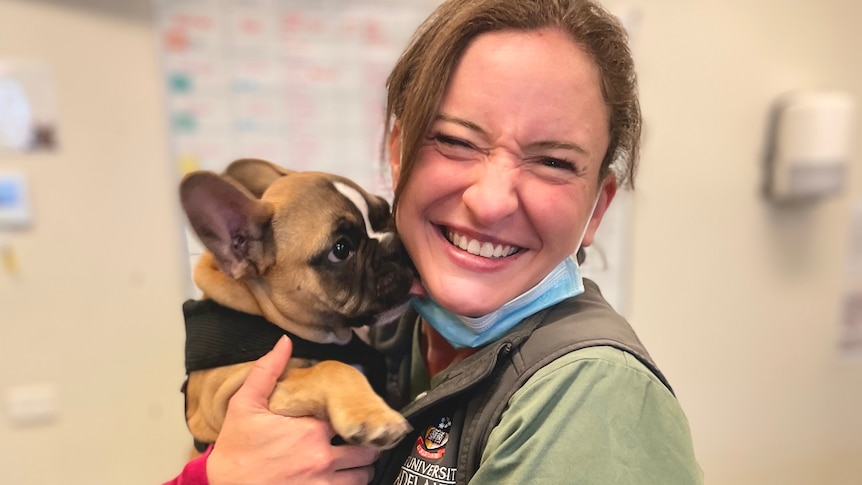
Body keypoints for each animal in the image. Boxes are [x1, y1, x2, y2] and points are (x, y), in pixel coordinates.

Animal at [179, 158, 416, 450]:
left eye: (385, 213)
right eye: (341, 250)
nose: (397, 244)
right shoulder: (229, 392)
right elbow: (331, 368)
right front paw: (374, 416)